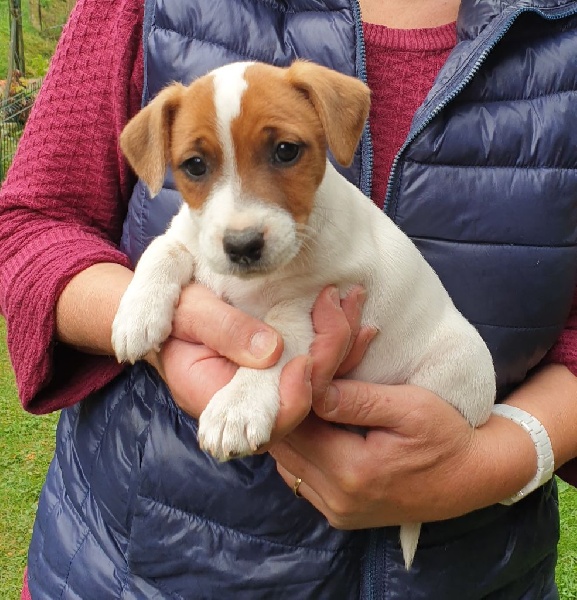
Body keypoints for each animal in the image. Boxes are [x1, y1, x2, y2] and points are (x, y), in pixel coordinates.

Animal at [111, 58, 496, 568]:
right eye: (195, 165)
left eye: (286, 151)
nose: (242, 245)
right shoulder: (189, 237)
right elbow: (163, 250)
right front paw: (136, 315)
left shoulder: (312, 302)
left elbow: (275, 342)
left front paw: (237, 406)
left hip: (448, 373)